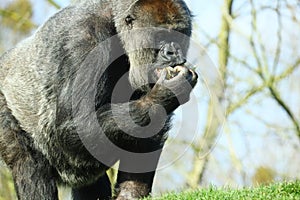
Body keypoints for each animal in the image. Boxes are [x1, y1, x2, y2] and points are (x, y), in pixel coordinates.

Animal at [0, 0, 197, 199]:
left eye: (178, 35)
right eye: (160, 35)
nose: (173, 52)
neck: (117, 28)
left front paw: (131, 192)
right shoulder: (85, 41)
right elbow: (75, 126)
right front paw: (165, 93)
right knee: (26, 161)